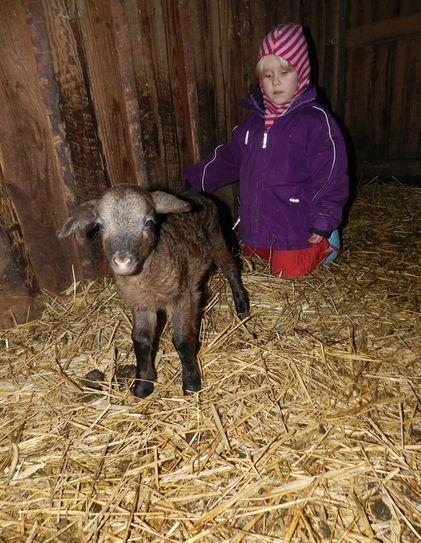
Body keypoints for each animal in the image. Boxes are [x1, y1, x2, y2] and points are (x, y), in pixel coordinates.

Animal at [58, 187, 249, 400]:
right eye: (100, 225)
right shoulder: (141, 305)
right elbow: (140, 341)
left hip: (217, 239)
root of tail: (197, 195)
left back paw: (242, 306)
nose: (123, 261)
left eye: (149, 222)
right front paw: (143, 386)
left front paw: (191, 385)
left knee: (231, 268)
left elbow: (182, 340)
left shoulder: (181, 298)